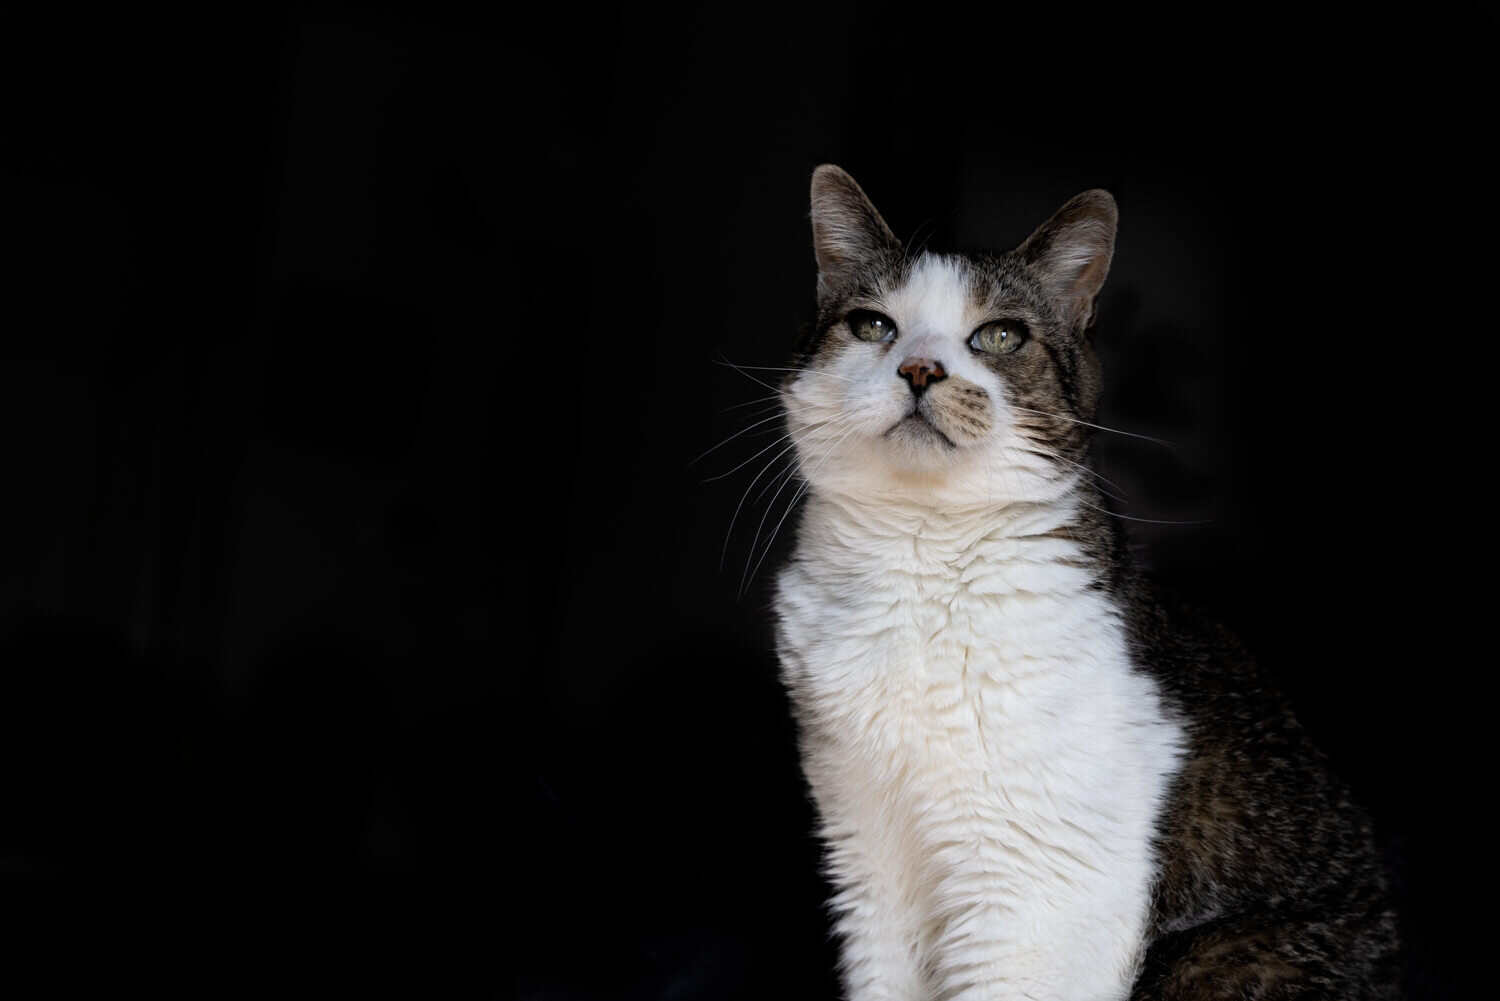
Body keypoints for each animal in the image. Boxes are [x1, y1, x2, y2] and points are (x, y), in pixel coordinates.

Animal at [768, 166, 1398, 1001]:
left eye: (1000, 336)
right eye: (873, 326)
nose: (919, 368)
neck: (919, 551)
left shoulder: (1036, 895)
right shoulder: (868, 858)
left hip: (1222, 956)